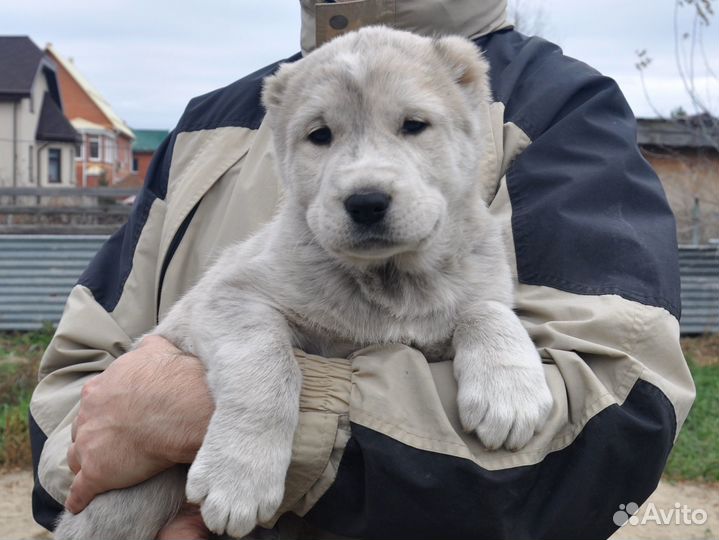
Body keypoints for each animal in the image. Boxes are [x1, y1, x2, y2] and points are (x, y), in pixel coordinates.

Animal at [56, 27, 556, 540]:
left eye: (414, 125)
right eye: (320, 135)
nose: (366, 201)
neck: (389, 282)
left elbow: (488, 309)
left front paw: (508, 394)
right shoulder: (229, 295)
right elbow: (268, 365)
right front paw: (239, 478)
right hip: (125, 499)